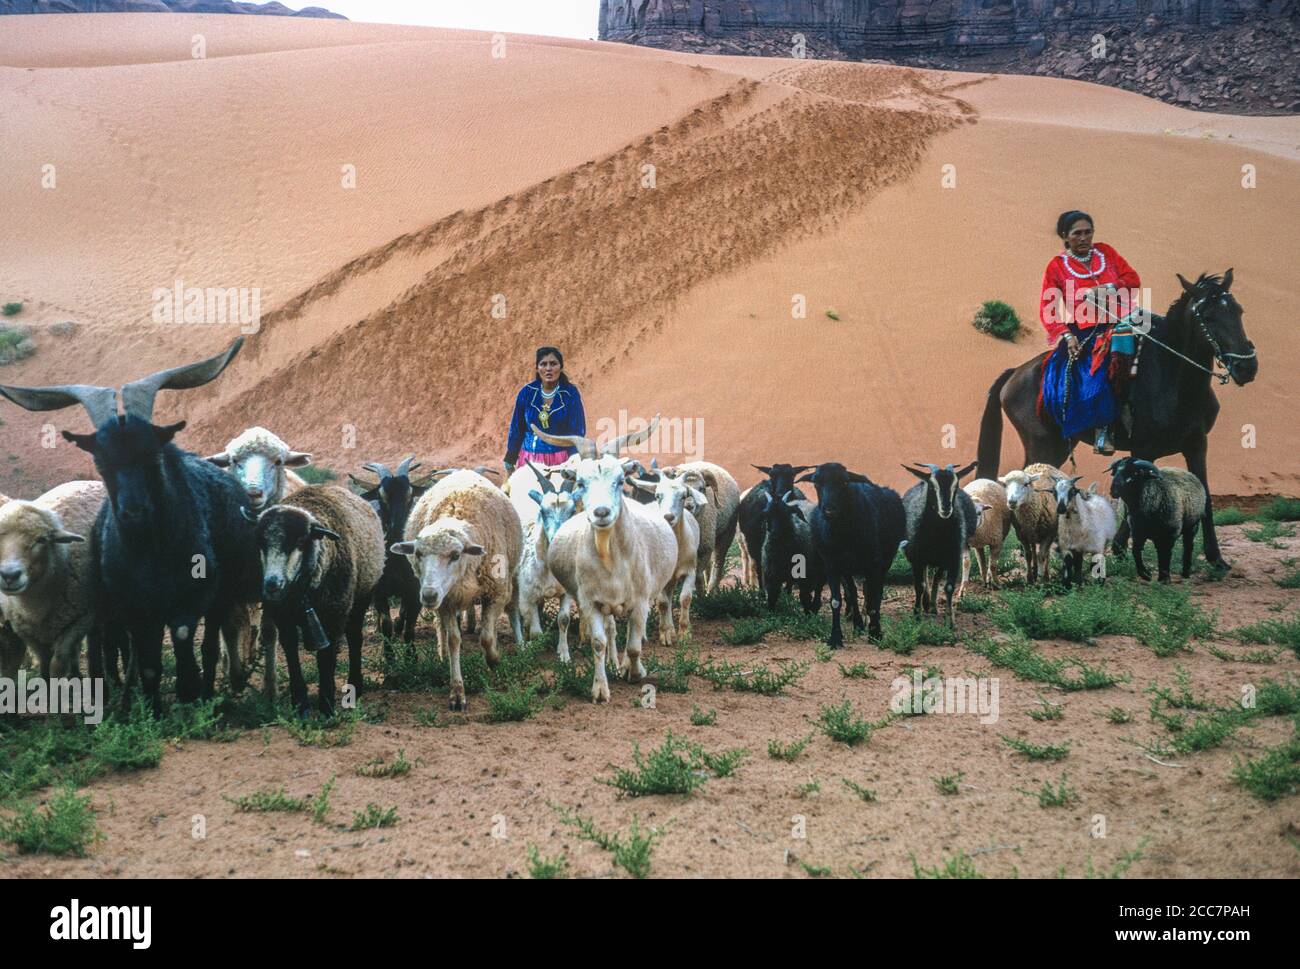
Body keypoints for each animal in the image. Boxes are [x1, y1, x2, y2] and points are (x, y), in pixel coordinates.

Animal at [0, 481, 106, 676]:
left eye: (41, 540)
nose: (9, 575)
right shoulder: (26, 631)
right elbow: (43, 663)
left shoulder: (79, 620)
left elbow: (57, 664)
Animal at [390, 465, 522, 707]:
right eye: (418, 553)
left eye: (455, 555)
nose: (428, 595)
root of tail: (463, 470)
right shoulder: (447, 602)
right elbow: (454, 640)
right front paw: (457, 691)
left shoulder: (496, 592)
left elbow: (486, 637)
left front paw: (495, 660)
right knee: (440, 628)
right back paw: (441, 655)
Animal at [977, 267, 1253, 564]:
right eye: (1209, 318)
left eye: (1238, 311)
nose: (1247, 366)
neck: (1175, 381)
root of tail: (1014, 372)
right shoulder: (1144, 449)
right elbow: (1135, 501)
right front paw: (1120, 547)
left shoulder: (1197, 445)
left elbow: (1205, 498)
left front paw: (1216, 557)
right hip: (1042, 443)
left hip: (1057, 445)